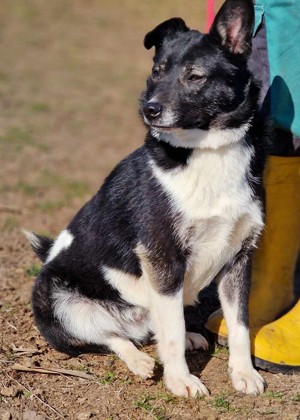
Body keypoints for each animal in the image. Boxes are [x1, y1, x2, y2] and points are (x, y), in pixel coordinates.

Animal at [27, 0, 268, 398]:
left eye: (195, 76)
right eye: (157, 72)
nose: (149, 110)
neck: (206, 151)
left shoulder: (239, 257)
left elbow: (240, 325)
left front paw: (243, 372)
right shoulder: (163, 256)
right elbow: (169, 334)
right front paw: (181, 380)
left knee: (150, 326)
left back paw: (187, 339)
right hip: (56, 297)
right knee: (109, 336)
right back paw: (139, 360)